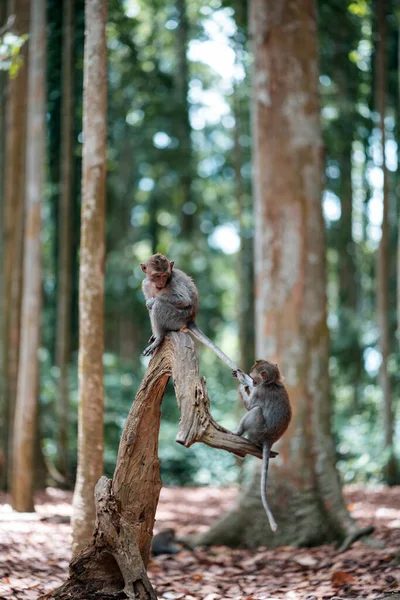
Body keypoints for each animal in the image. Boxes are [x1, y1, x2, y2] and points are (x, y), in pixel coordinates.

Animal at [233, 358, 292, 532]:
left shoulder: (260, 391)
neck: (272, 382)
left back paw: (238, 433)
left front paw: (242, 385)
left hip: (257, 430)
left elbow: (250, 405)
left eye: (254, 377)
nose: (251, 381)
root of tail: (269, 440)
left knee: (255, 410)